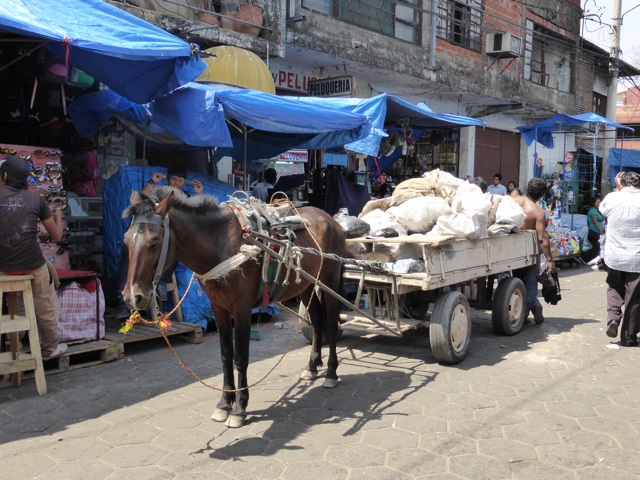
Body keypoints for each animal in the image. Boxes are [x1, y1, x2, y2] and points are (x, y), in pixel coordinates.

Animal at [120, 187, 344, 428]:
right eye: (126, 240)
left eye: (154, 242)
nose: (132, 297)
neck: (220, 246)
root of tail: (330, 219)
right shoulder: (219, 308)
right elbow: (226, 355)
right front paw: (224, 403)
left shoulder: (242, 309)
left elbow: (241, 357)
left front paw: (239, 408)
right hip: (306, 284)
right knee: (317, 318)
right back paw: (312, 367)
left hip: (330, 281)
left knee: (331, 323)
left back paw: (331, 373)